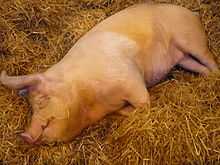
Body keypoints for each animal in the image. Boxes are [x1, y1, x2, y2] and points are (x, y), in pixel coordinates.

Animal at [0, 3, 218, 144]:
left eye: (42, 99)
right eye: (30, 107)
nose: (24, 136)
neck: (92, 101)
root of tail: (192, 13)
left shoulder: (131, 80)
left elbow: (143, 104)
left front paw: (127, 111)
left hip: (191, 40)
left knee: (211, 60)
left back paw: (216, 75)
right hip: (184, 59)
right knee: (201, 68)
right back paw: (209, 77)